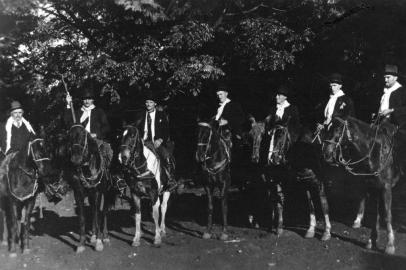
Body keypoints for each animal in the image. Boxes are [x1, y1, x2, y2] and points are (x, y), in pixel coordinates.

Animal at [65, 124, 113, 253]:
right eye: (70, 137)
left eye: (83, 137)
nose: (75, 159)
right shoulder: (78, 193)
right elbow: (82, 219)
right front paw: (81, 244)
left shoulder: (97, 193)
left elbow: (98, 216)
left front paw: (99, 243)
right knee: (93, 210)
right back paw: (93, 236)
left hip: (107, 192)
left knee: (104, 212)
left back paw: (104, 236)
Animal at [324, 115, 400, 253]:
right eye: (328, 128)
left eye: (338, 129)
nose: (326, 153)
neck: (376, 151)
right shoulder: (372, 185)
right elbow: (376, 215)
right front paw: (371, 240)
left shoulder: (385, 188)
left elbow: (387, 215)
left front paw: (390, 245)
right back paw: (357, 220)